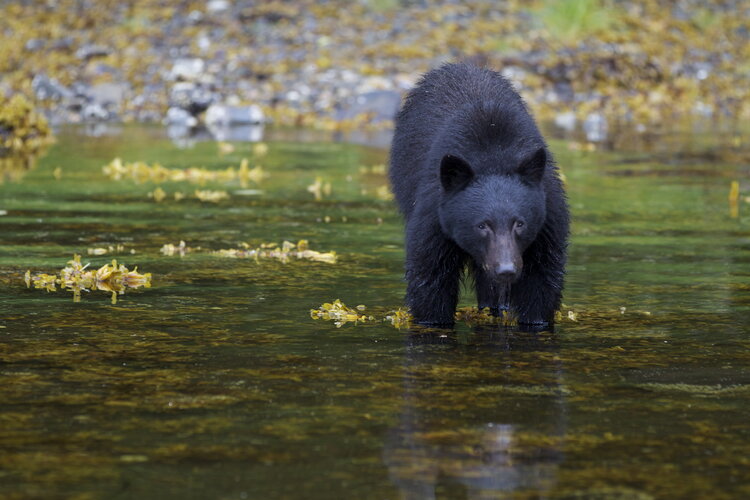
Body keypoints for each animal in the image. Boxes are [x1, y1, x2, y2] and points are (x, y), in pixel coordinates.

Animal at [394, 63, 568, 328]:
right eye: (482, 225)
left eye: (520, 223)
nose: (506, 270)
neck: (493, 157)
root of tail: (460, 65)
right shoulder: (434, 213)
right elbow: (430, 277)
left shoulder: (548, 217)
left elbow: (542, 281)